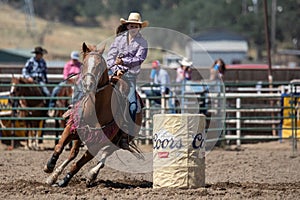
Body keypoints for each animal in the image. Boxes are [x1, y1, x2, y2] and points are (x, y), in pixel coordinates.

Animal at [43, 42, 144, 188]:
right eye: (84, 63)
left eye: (99, 65)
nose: (88, 84)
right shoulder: (72, 128)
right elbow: (59, 146)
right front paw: (50, 166)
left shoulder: (96, 144)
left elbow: (78, 164)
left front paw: (65, 180)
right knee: (73, 154)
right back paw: (53, 176)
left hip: (117, 141)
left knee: (104, 156)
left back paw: (91, 175)